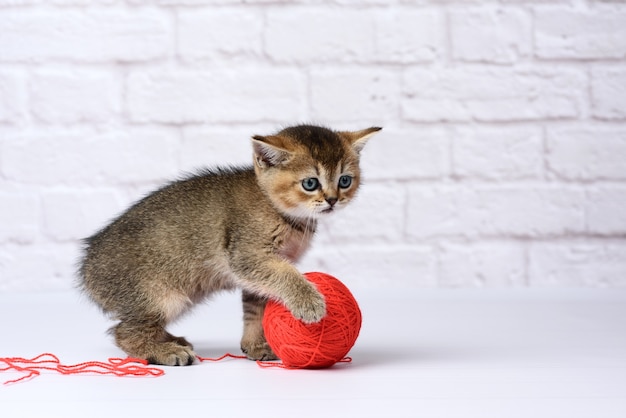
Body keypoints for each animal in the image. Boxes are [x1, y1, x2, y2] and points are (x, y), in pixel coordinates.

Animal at [79, 124, 380, 366]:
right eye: (310, 183)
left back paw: (171, 340)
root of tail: (87, 268)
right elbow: (286, 276)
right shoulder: (248, 256)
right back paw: (164, 351)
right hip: (163, 297)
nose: (332, 200)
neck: (281, 212)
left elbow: (255, 310)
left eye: (344, 180)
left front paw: (255, 346)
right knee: (123, 333)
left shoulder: (257, 274)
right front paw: (309, 301)